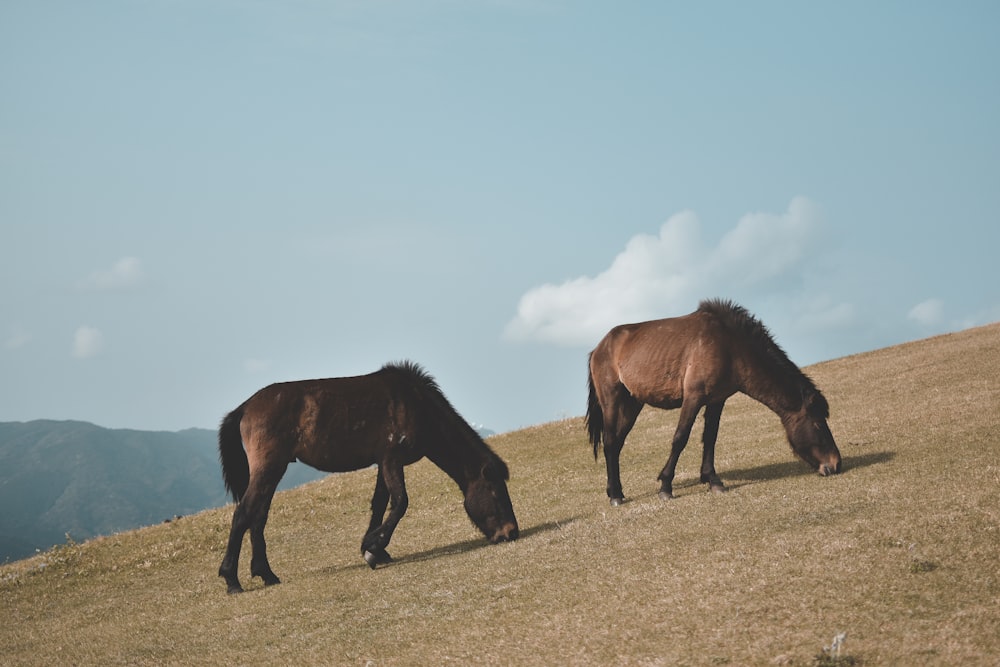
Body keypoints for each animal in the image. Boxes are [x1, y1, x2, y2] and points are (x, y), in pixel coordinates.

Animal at [217, 360, 516, 596]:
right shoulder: (392, 459)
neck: (417, 406)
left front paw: (374, 547)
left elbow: (380, 504)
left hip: (272, 471)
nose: (511, 532)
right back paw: (232, 579)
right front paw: (373, 549)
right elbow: (400, 503)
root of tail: (245, 407)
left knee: (258, 517)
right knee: (243, 515)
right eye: (495, 492)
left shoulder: (384, 462)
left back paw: (266, 573)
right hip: (269, 468)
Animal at [588, 298, 840, 506]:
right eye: (818, 423)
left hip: (632, 405)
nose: (836, 464)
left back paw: (615, 491)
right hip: (612, 400)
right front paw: (666, 486)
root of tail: (599, 348)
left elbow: (710, 438)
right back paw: (616, 495)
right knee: (610, 442)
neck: (730, 346)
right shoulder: (693, 397)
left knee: (617, 443)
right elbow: (680, 438)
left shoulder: (717, 400)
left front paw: (713, 480)